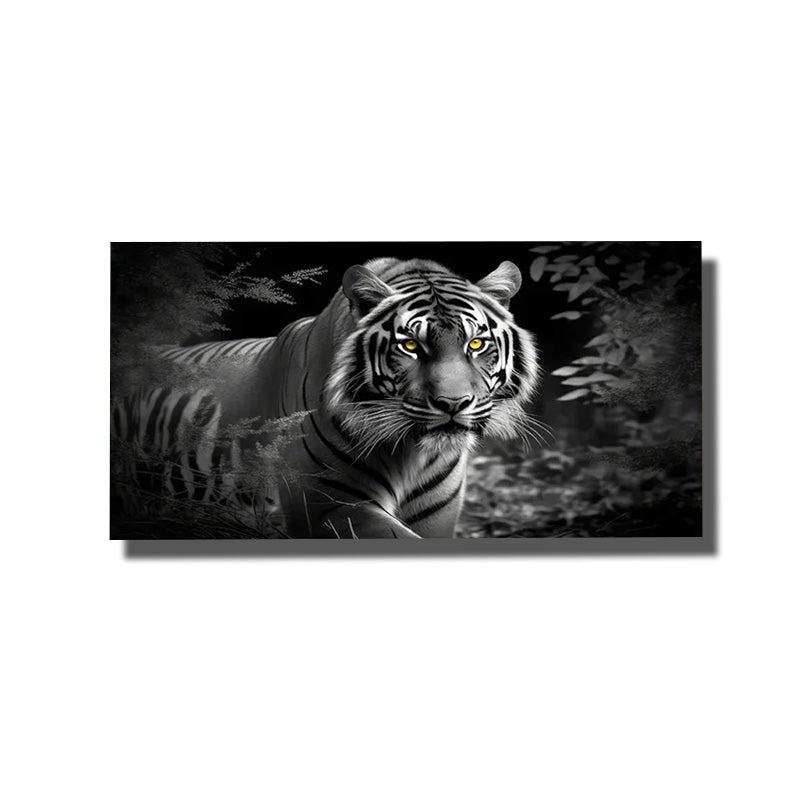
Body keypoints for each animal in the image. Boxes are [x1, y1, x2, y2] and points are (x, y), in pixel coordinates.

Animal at [112, 257, 540, 538]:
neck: (411, 454)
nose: (454, 404)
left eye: (476, 343)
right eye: (410, 346)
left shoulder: (437, 518)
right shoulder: (328, 507)